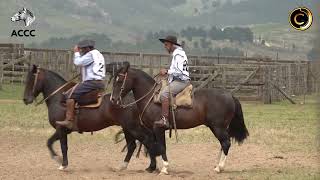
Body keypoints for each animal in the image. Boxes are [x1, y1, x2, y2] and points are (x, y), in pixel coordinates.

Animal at [22, 64, 161, 172]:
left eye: (31, 80)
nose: (25, 99)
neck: (59, 98)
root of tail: (135, 100)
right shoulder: (63, 130)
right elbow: (53, 143)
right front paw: (59, 160)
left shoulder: (61, 129)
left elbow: (61, 146)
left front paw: (62, 163)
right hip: (127, 128)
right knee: (132, 146)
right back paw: (124, 166)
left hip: (133, 127)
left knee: (147, 140)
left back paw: (152, 167)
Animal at [110, 62, 250, 174]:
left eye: (119, 80)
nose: (113, 99)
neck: (151, 98)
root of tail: (230, 95)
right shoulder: (152, 130)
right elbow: (153, 146)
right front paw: (151, 167)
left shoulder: (158, 128)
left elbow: (161, 147)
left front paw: (164, 168)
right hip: (219, 128)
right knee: (223, 144)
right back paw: (216, 165)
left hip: (218, 127)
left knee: (226, 143)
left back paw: (219, 168)